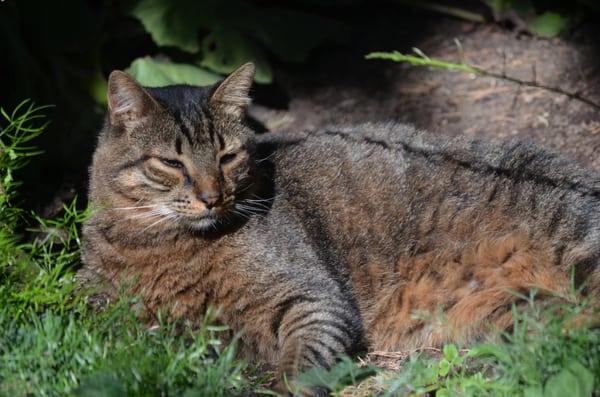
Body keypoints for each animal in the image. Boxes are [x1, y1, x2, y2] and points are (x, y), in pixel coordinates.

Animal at [79, 63, 600, 392]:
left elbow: (302, 359)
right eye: (171, 163)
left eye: (228, 157)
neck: (166, 245)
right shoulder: (108, 311)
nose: (212, 196)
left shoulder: (314, 296)